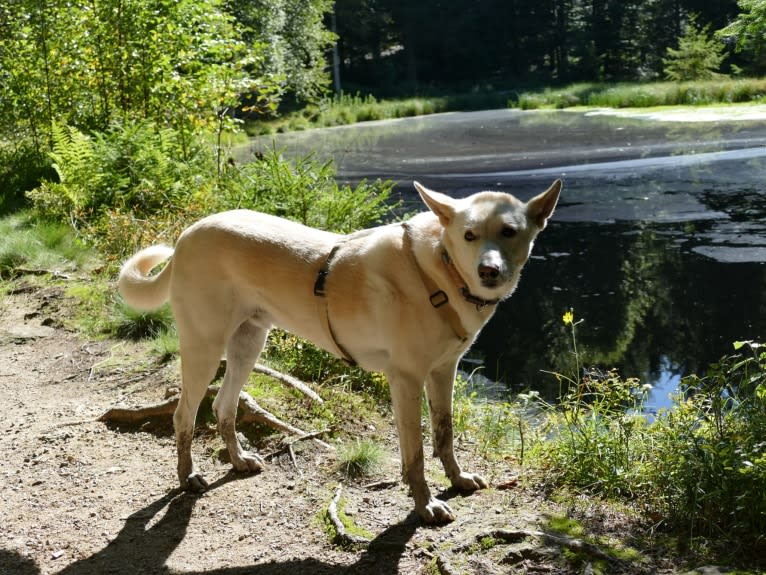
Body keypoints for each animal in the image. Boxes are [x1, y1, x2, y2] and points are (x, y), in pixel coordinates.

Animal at [120, 181, 564, 528]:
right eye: (469, 235)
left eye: (509, 231)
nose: (489, 271)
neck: (440, 269)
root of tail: (186, 235)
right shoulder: (406, 380)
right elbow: (416, 455)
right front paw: (426, 506)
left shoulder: (443, 372)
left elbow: (444, 434)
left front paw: (457, 480)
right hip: (204, 348)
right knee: (184, 416)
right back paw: (188, 476)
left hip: (248, 345)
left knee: (223, 408)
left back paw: (239, 460)